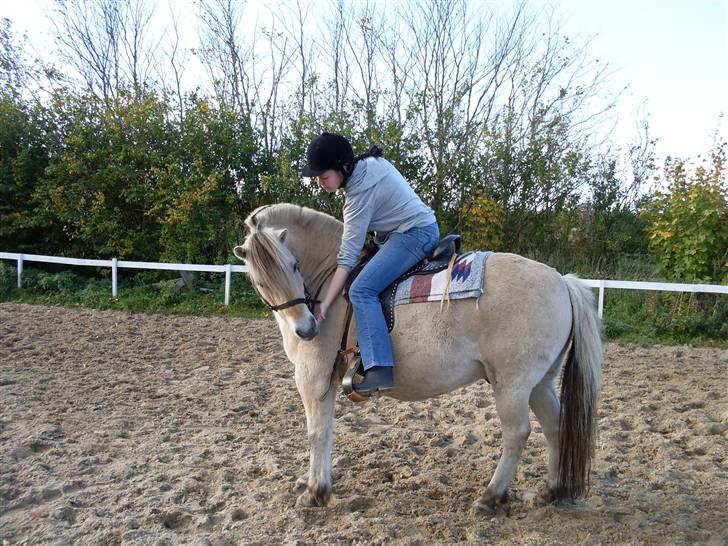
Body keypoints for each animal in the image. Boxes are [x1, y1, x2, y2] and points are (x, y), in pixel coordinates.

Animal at [235, 202, 604, 512]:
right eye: (260, 281)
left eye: (294, 265)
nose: (307, 329)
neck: (332, 287)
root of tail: (562, 281)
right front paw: (313, 484)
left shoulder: (314, 378)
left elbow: (318, 433)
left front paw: (316, 491)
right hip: (539, 383)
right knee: (555, 426)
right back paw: (552, 490)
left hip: (513, 385)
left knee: (517, 433)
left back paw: (491, 497)